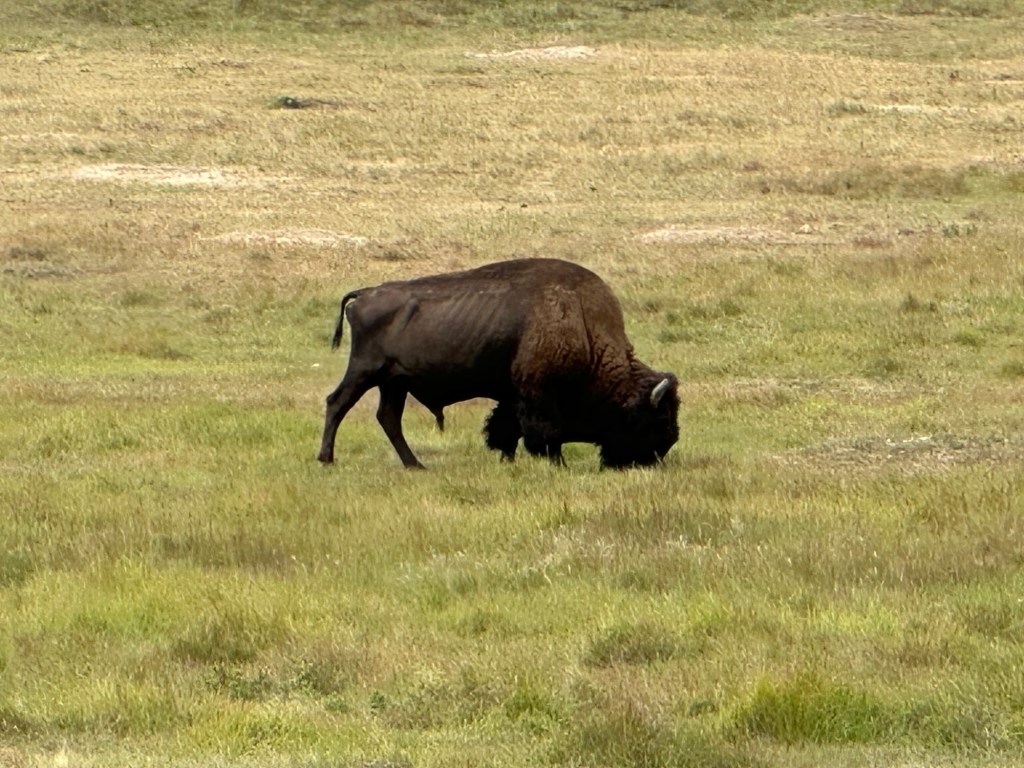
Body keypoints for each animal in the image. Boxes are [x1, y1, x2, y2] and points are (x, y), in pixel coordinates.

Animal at [317, 258, 679, 469]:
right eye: (656, 420)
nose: (654, 459)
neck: (584, 325)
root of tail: (364, 294)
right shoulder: (538, 396)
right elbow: (545, 433)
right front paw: (556, 464)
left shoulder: (513, 396)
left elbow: (507, 429)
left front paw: (508, 460)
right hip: (366, 371)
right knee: (337, 403)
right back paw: (327, 459)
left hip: (395, 382)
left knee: (388, 418)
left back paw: (415, 465)